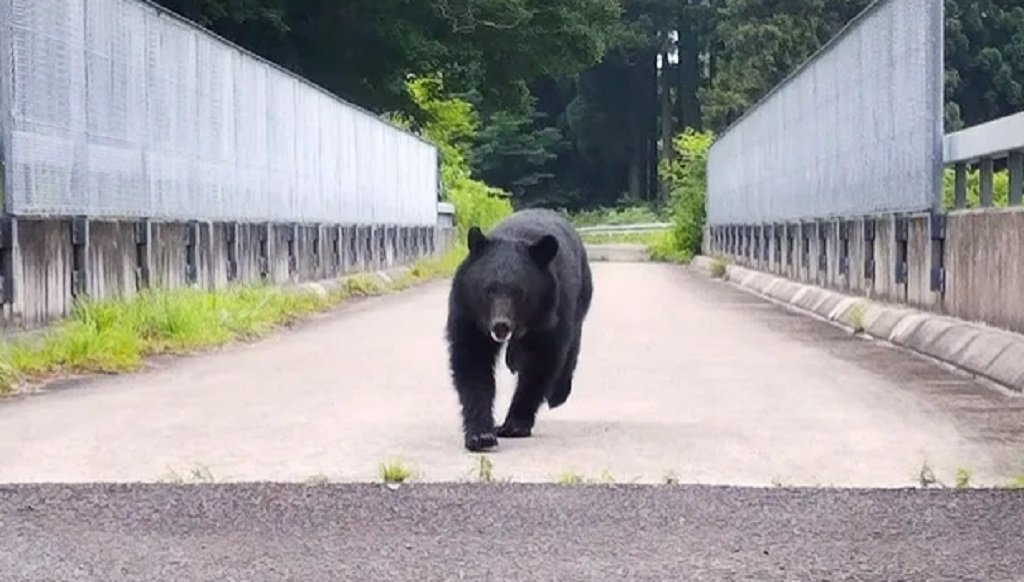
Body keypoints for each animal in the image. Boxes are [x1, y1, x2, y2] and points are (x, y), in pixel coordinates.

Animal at [445, 208, 594, 452]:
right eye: (488, 290)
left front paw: (514, 425)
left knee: (572, 342)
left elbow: (540, 364)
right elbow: (472, 362)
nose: (500, 326)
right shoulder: (468, 312)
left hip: (580, 296)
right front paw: (481, 434)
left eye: (519, 293)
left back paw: (557, 394)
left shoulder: (551, 313)